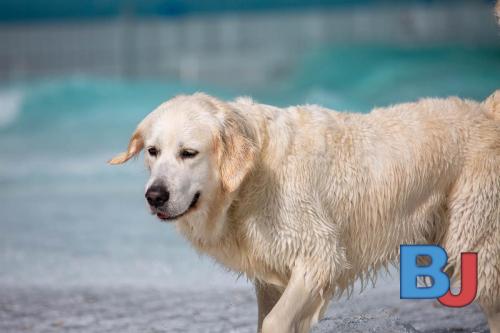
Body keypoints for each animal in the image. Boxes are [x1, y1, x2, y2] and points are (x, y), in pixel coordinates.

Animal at [110, 89, 500, 330]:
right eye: (153, 151)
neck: (250, 179)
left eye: (188, 153)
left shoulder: (319, 256)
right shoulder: (271, 275)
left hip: (474, 238)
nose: (154, 195)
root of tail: (485, 111)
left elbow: (275, 321)